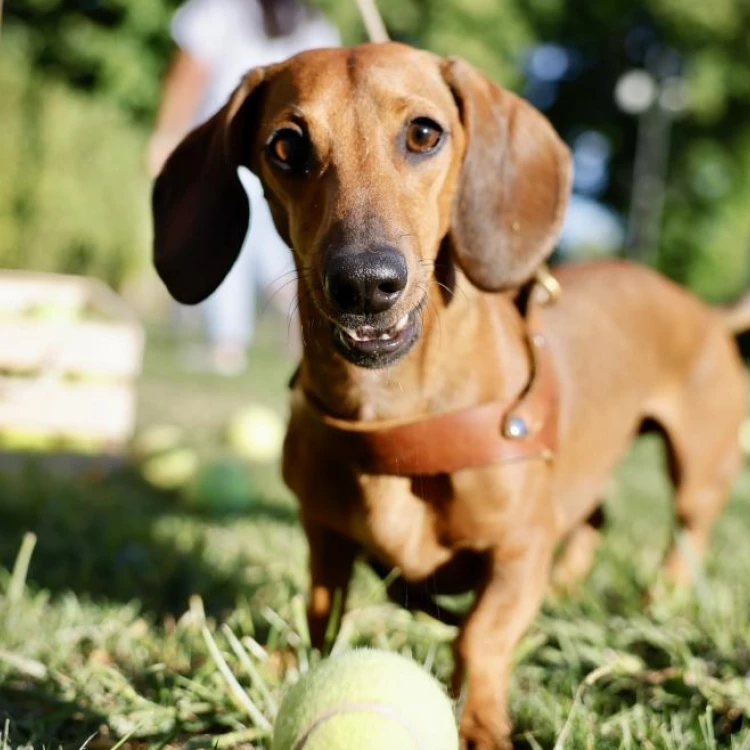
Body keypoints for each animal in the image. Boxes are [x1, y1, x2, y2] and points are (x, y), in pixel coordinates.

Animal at [153, 42, 750, 750]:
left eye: (423, 133)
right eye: (287, 146)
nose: (365, 283)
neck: (393, 414)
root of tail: (707, 313)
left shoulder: (520, 548)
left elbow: (478, 636)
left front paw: (482, 719)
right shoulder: (324, 536)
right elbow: (322, 613)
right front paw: (281, 659)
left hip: (697, 476)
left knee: (683, 538)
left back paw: (656, 600)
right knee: (594, 518)